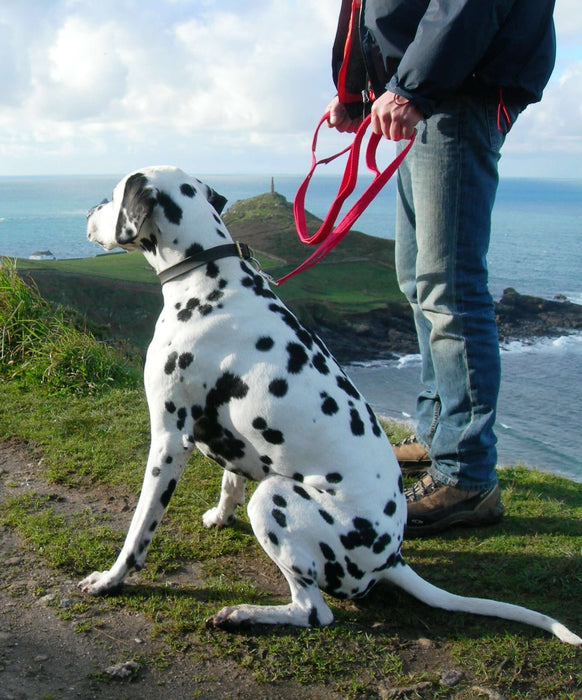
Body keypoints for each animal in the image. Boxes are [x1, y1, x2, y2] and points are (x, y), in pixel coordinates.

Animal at [80, 165, 580, 644]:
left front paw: (111, 578)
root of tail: (391, 556)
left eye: (114, 194)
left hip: (274, 499)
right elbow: (229, 481)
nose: (90, 208)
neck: (207, 283)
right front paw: (220, 517)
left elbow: (139, 528)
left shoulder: (168, 440)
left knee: (314, 611)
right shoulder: (232, 437)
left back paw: (243, 614)